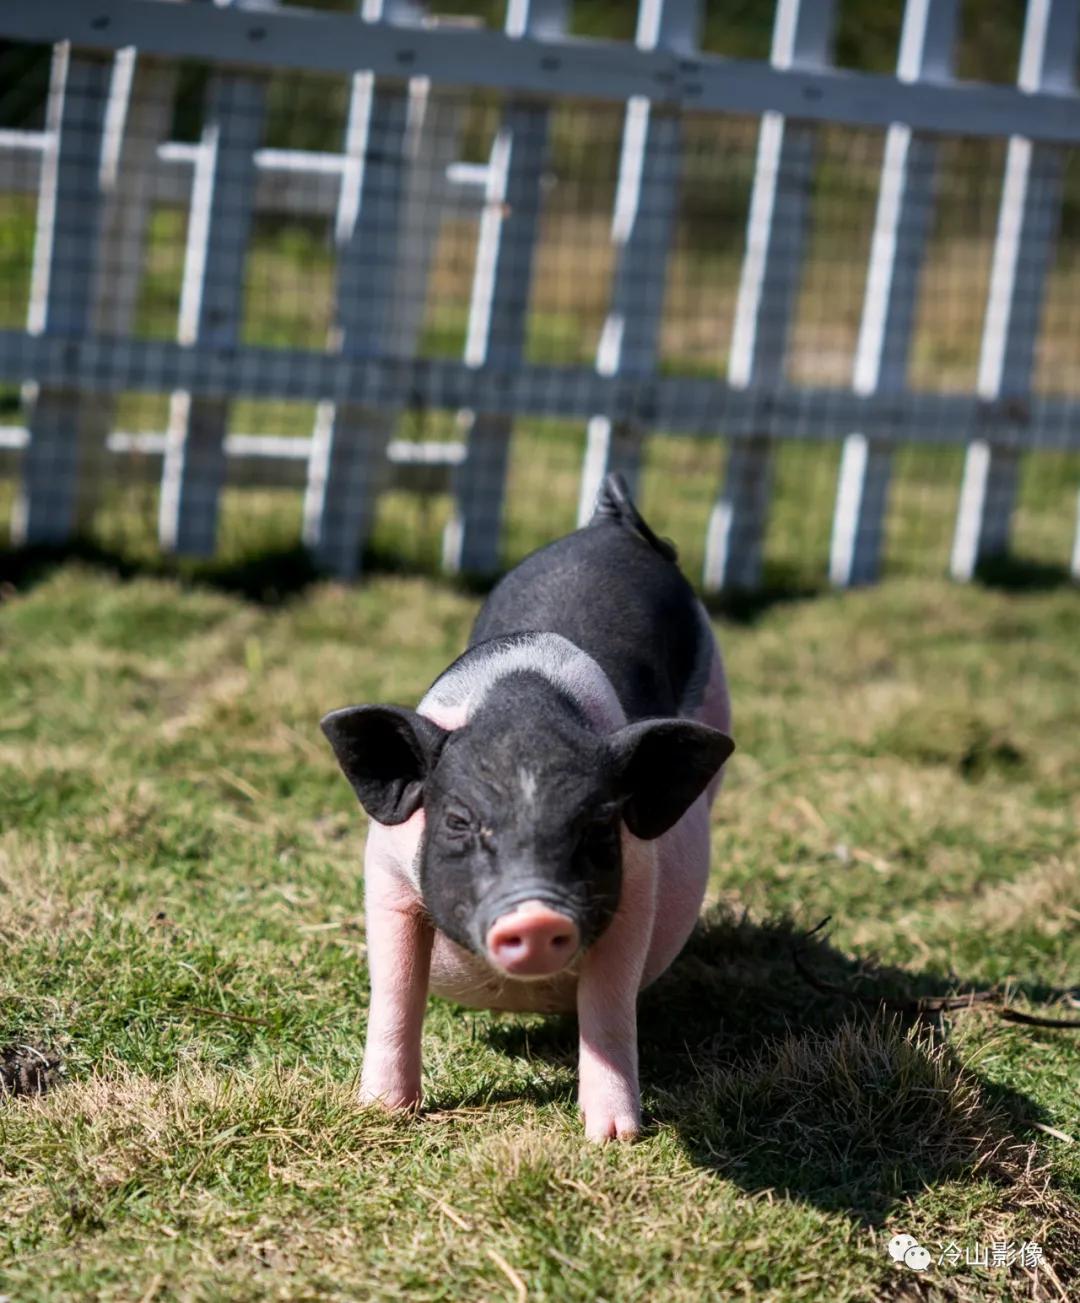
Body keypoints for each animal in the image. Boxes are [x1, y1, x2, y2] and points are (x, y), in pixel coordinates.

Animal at [316, 476, 729, 1141]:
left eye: (597, 826)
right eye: (459, 821)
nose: (534, 916)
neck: (524, 719)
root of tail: (609, 522)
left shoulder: (638, 886)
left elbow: (609, 1006)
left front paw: (613, 1137)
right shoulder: (385, 870)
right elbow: (396, 989)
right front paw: (381, 1112)